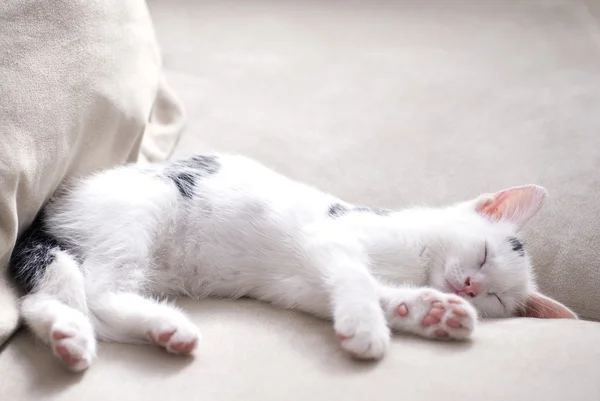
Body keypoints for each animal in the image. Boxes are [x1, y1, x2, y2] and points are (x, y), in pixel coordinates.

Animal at [9, 152, 576, 370]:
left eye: (498, 298)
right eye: (483, 255)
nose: (471, 290)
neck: (414, 264)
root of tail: (52, 210)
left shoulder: (308, 286)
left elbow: (377, 294)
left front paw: (430, 312)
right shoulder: (332, 238)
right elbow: (356, 277)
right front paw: (367, 328)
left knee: (49, 304)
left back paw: (90, 333)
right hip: (136, 215)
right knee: (95, 293)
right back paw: (156, 324)